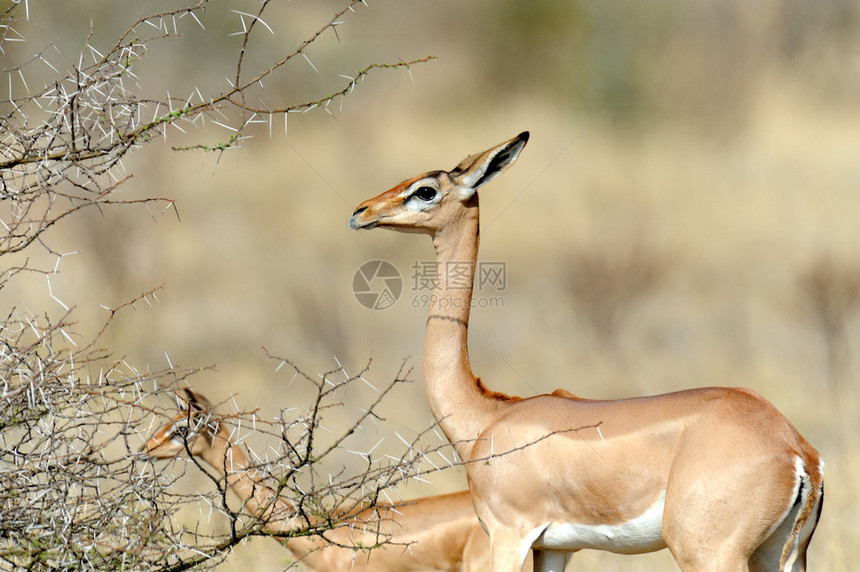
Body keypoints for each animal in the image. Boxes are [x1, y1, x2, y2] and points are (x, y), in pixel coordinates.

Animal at [346, 130, 824, 572]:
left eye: (425, 190)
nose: (360, 212)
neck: (487, 417)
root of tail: (797, 451)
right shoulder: (555, 548)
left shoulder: (508, 536)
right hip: (779, 556)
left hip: (708, 555)